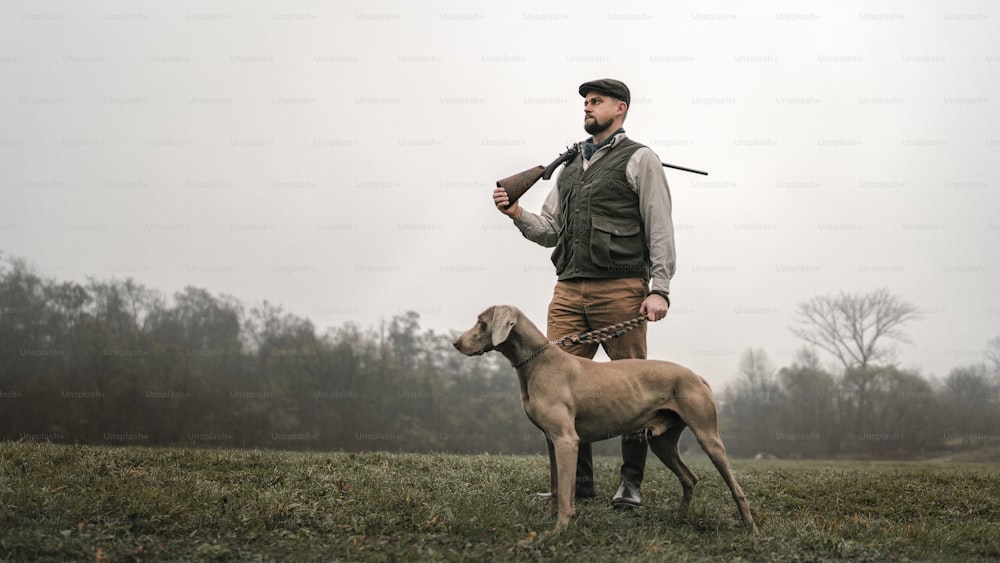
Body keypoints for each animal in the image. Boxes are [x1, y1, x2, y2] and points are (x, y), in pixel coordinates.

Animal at [450, 306, 752, 532]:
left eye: (481, 323)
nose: (456, 343)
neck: (537, 362)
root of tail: (697, 375)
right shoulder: (551, 440)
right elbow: (556, 486)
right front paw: (549, 519)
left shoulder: (566, 440)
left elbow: (565, 490)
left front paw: (559, 530)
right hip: (662, 441)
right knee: (690, 478)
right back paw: (680, 518)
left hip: (708, 436)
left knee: (735, 487)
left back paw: (750, 527)